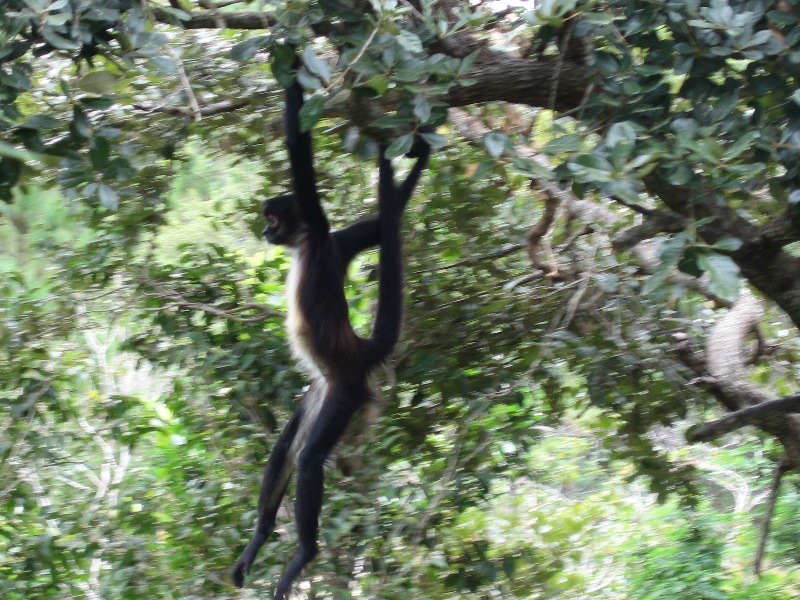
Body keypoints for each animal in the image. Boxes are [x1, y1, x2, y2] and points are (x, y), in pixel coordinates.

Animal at [231, 61, 431, 599]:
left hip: (345, 393)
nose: (264, 232)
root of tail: (356, 354)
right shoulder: (338, 243)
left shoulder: (321, 228)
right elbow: (382, 223)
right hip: (321, 390)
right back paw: (259, 538)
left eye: (273, 219)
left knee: (308, 460)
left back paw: (305, 554)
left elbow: (300, 150)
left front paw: (292, 65)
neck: (306, 244)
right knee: (285, 447)